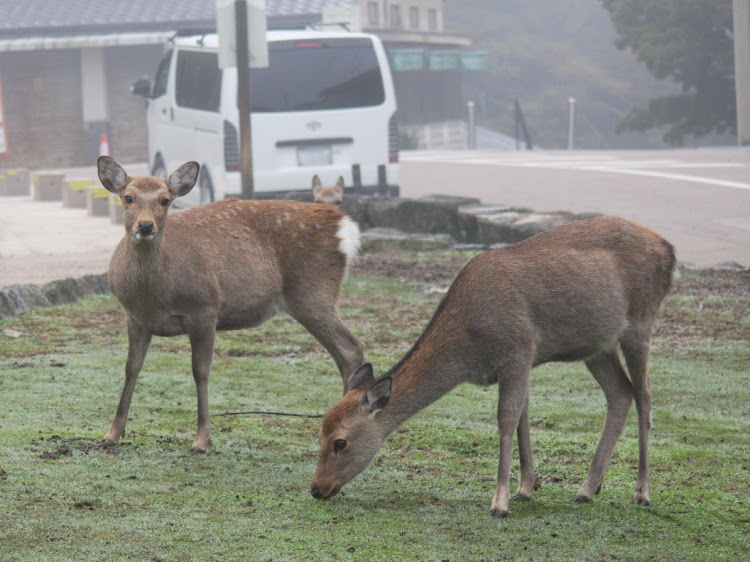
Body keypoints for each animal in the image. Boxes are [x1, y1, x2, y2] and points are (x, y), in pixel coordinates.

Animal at [97, 154, 368, 450]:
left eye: (165, 200)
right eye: (128, 197)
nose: (145, 226)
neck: (154, 297)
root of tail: (346, 227)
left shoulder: (205, 308)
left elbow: (200, 371)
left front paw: (202, 439)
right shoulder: (135, 317)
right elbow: (131, 368)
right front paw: (112, 434)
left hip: (314, 292)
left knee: (351, 347)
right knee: (342, 353)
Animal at [314, 214, 680, 516]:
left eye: (340, 442)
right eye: (319, 432)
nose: (316, 489)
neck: (467, 347)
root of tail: (670, 249)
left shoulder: (517, 349)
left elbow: (506, 420)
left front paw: (499, 502)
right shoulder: (522, 362)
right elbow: (522, 418)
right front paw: (525, 489)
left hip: (640, 322)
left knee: (645, 395)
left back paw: (642, 492)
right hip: (597, 344)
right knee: (620, 392)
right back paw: (587, 489)